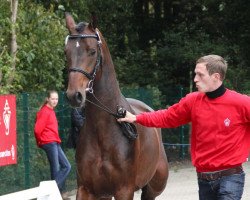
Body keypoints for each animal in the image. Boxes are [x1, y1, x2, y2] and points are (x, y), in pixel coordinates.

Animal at [65, 13, 169, 199]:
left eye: (92, 51)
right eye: (66, 52)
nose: (74, 95)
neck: (103, 130)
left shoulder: (124, 189)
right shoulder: (85, 189)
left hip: (153, 188)